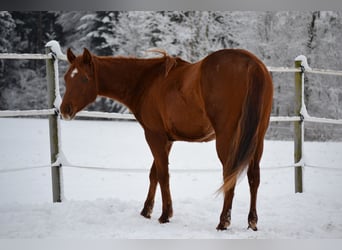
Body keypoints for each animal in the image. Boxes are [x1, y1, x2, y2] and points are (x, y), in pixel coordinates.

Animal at [60, 47, 272, 231]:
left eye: (85, 78)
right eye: (66, 78)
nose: (64, 110)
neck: (146, 82)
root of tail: (252, 64)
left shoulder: (154, 135)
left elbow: (163, 175)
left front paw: (165, 215)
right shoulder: (167, 140)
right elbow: (154, 173)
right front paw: (146, 211)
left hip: (227, 139)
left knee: (230, 174)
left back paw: (223, 221)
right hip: (257, 139)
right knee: (254, 177)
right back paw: (252, 222)